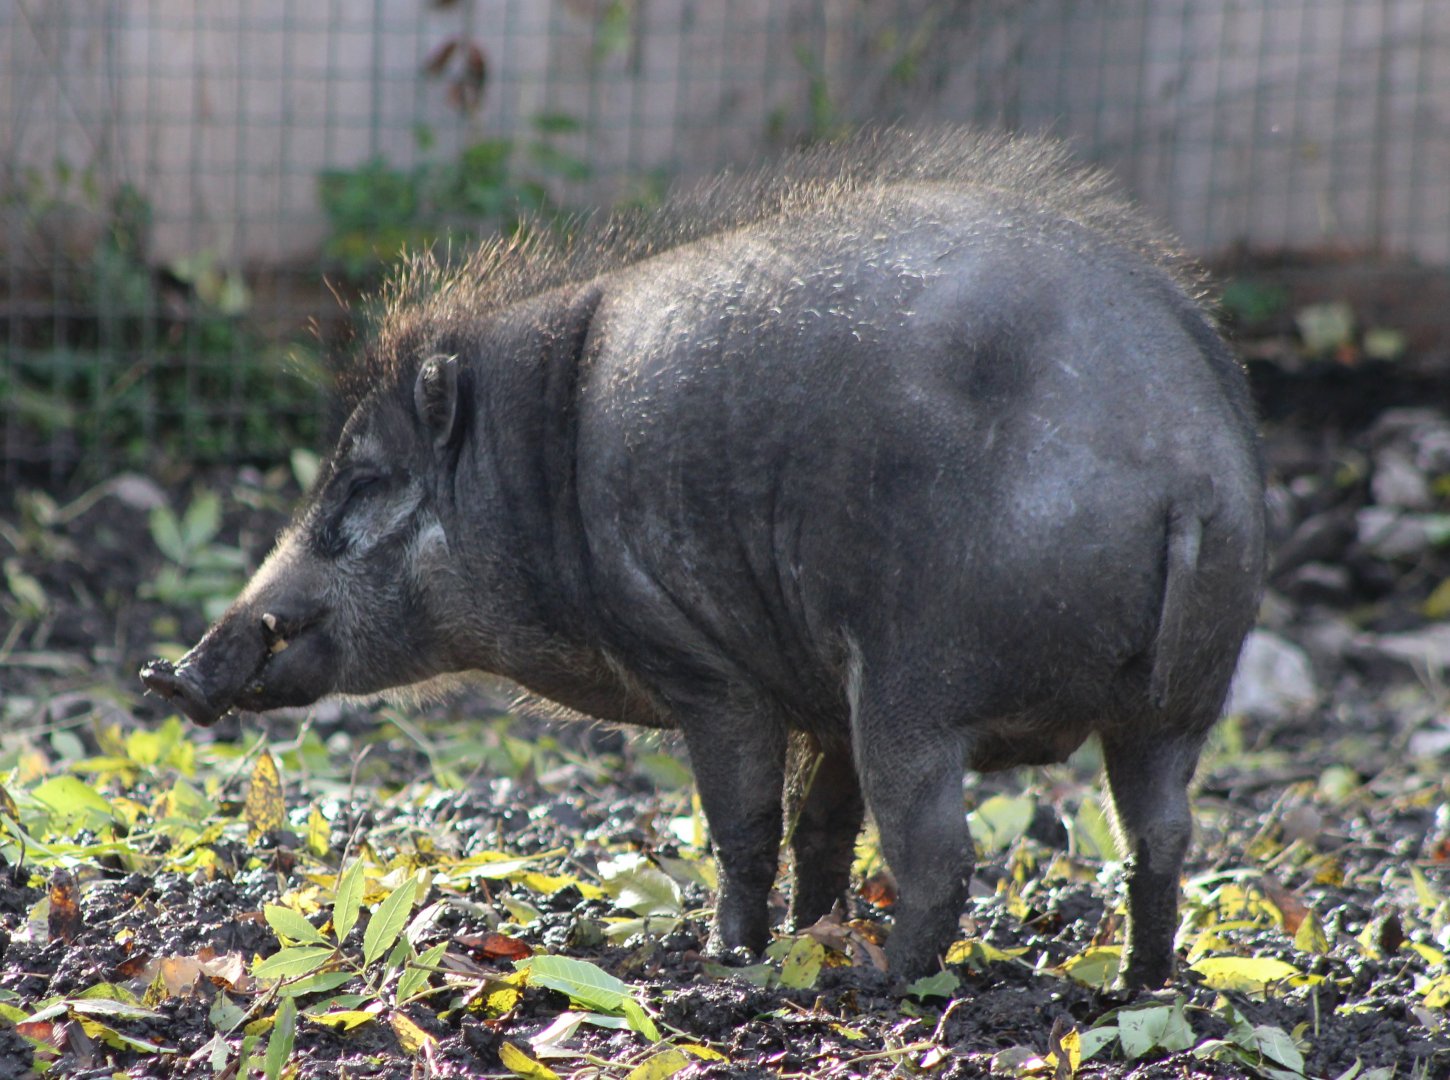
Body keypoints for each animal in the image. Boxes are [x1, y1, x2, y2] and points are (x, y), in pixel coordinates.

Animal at [141, 129, 1265, 986]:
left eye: (364, 479)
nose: (175, 673)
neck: (537, 473)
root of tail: (1184, 467)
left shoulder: (708, 670)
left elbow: (745, 825)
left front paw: (734, 957)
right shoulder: (819, 697)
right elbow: (821, 829)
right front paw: (810, 932)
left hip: (921, 680)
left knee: (943, 853)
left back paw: (883, 983)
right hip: (1178, 707)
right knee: (1160, 840)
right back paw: (1135, 984)